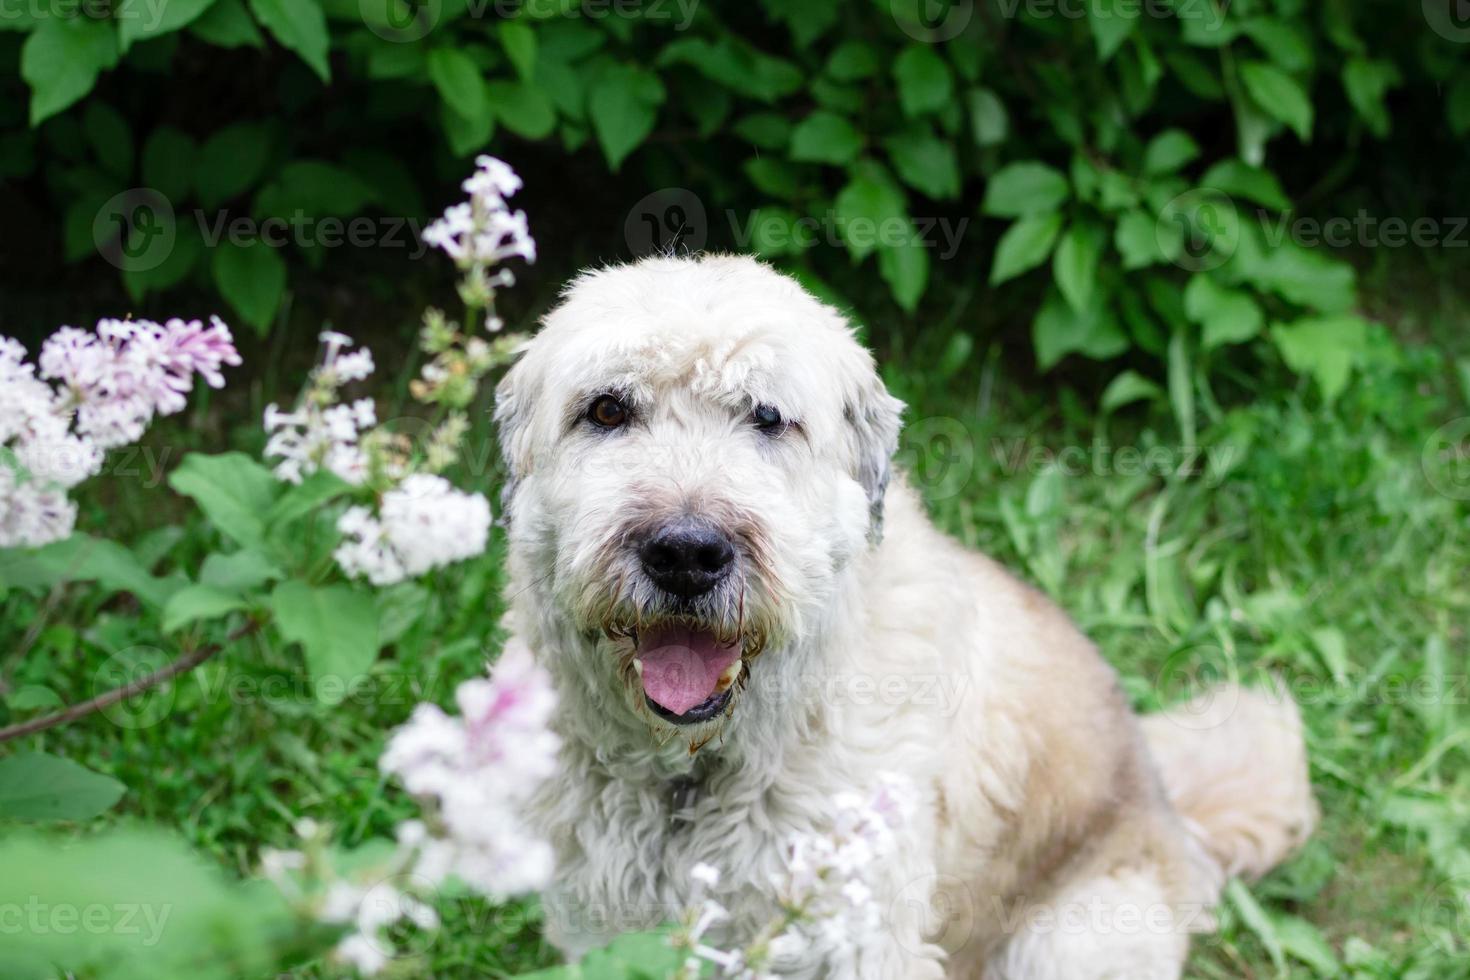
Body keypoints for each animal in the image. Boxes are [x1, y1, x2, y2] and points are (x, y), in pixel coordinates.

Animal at [496, 255, 1323, 980]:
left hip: (1072, 941)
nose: (686, 553)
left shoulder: (853, 940)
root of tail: (1175, 814)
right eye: (608, 409)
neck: (692, 780)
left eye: (769, 418)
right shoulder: (606, 932)